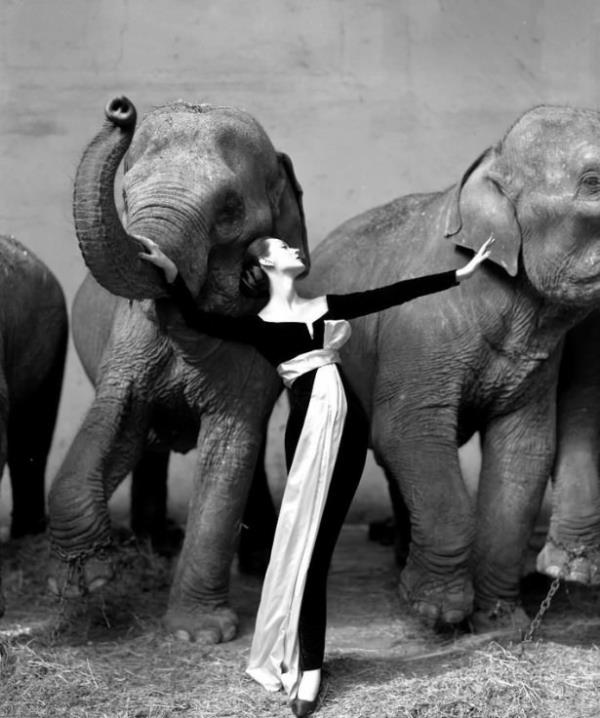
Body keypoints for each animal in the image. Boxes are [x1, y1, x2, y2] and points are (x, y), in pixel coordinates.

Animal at [47, 96, 306, 642]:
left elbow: (230, 447)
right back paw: (155, 546)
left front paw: (197, 635)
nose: (120, 109)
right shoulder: (128, 340)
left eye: (229, 209)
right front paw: (84, 583)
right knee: (147, 446)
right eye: (125, 194)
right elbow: (114, 418)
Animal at [296, 105, 600, 631]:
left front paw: (500, 620)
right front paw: (436, 612)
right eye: (594, 182)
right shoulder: (421, 328)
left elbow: (524, 451)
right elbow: (408, 430)